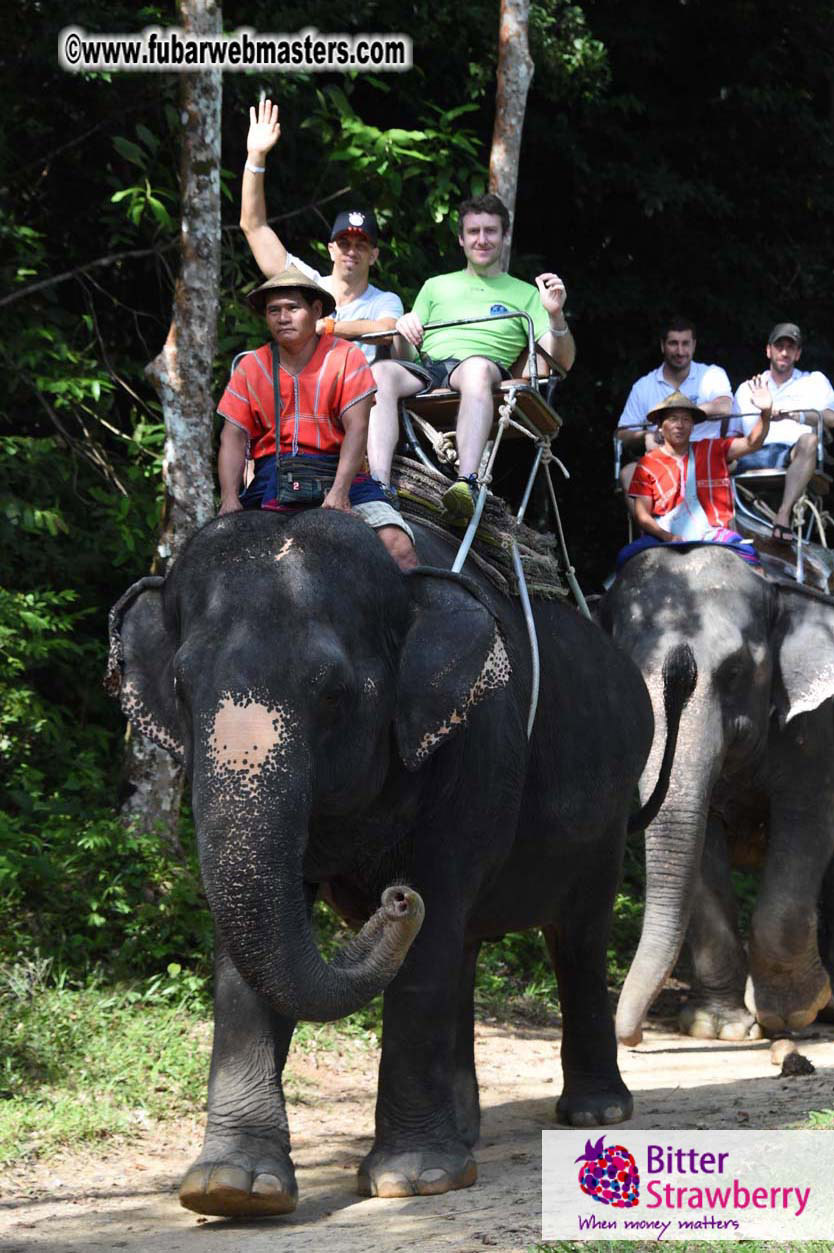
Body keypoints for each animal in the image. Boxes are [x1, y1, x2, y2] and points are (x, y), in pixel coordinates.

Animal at [107, 508, 695, 1218]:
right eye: (181, 687)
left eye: (333, 694)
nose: (395, 900)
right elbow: (245, 942)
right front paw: (231, 1189)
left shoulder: (475, 744)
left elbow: (431, 919)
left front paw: (414, 1180)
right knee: (465, 946)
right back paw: (466, 1129)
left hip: (608, 808)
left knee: (573, 935)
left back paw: (595, 1112)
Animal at [600, 544, 834, 1046]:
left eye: (735, 672)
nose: (631, 1039)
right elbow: (702, 845)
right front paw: (717, 1027)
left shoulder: (819, 728)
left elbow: (806, 825)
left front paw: (791, 1011)